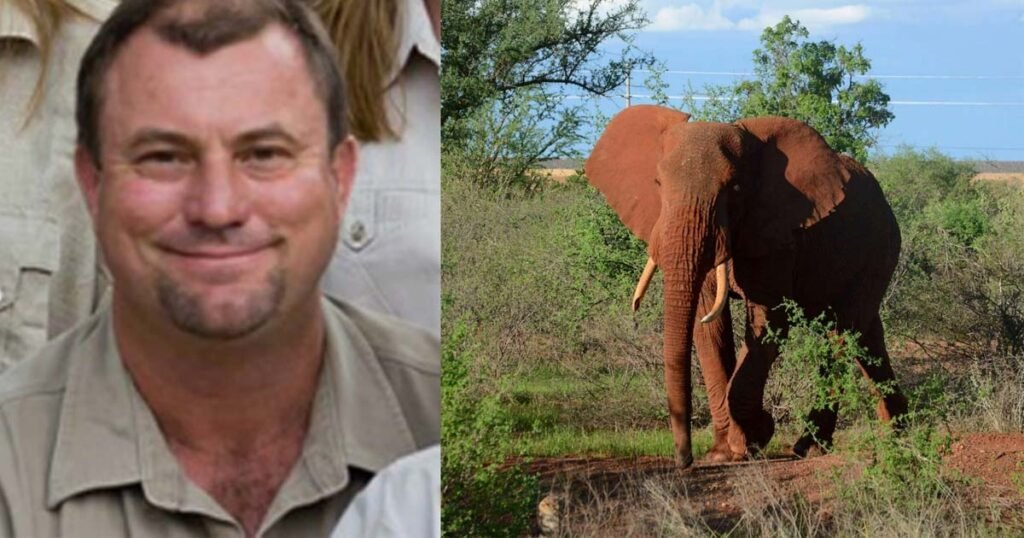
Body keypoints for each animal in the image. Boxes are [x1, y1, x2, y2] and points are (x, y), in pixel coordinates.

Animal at [584, 105, 908, 467]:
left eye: (736, 189)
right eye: (657, 183)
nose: (684, 460)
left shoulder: (777, 234)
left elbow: (769, 320)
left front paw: (752, 438)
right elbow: (708, 325)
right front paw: (722, 452)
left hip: (879, 247)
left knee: (841, 332)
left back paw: (810, 447)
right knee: (867, 335)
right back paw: (898, 432)